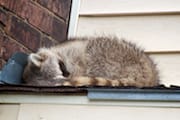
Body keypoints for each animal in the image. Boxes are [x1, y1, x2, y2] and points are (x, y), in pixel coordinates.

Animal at [22, 36, 159, 87]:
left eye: (60, 68)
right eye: (58, 79)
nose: (69, 76)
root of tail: (150, 75)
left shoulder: (74, 50)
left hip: (113, 55)